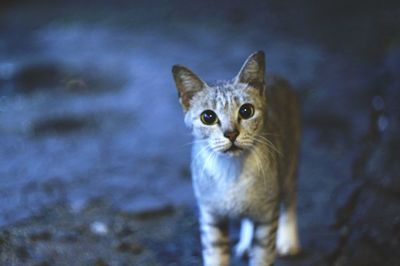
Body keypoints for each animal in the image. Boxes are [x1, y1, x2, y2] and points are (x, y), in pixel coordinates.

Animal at [171, 50, 300, 266]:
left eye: (246, 111)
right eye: (208, 117)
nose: (231, 134)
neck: (232, 171)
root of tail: (276, 75)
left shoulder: (267, 217)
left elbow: (262, 256)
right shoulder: (211, 217)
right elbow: (215, 257)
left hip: (290, 162)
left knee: (289, 200)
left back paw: (289, 240)